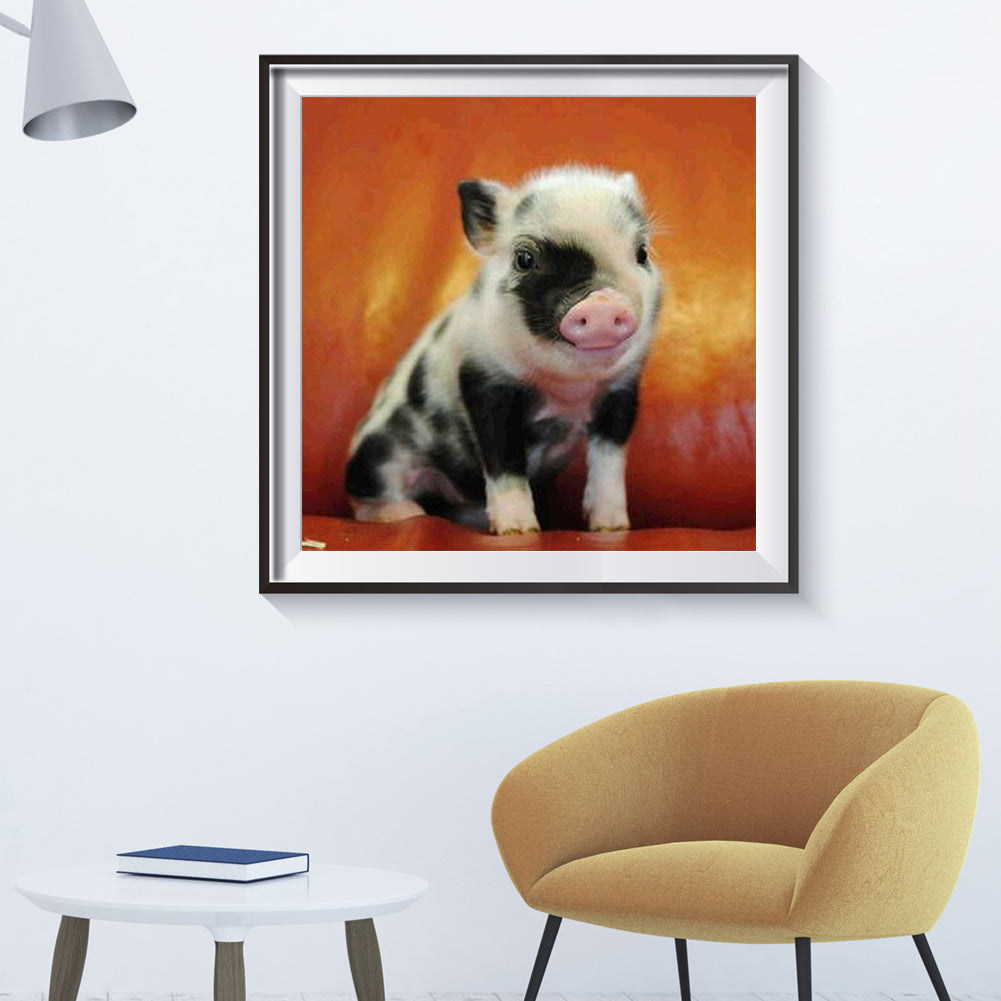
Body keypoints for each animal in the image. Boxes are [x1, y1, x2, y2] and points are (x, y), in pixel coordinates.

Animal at [344, 165, 663, 535]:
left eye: (641, 253)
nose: (602, 304)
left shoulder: (621, 392)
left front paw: (612, 527)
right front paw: (517, 530)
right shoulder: (484, 381)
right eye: (524, 258)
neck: (566, 389)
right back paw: (406, 514)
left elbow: (609, 462)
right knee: (367, 496)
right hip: (377, 454)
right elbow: (503, 460)